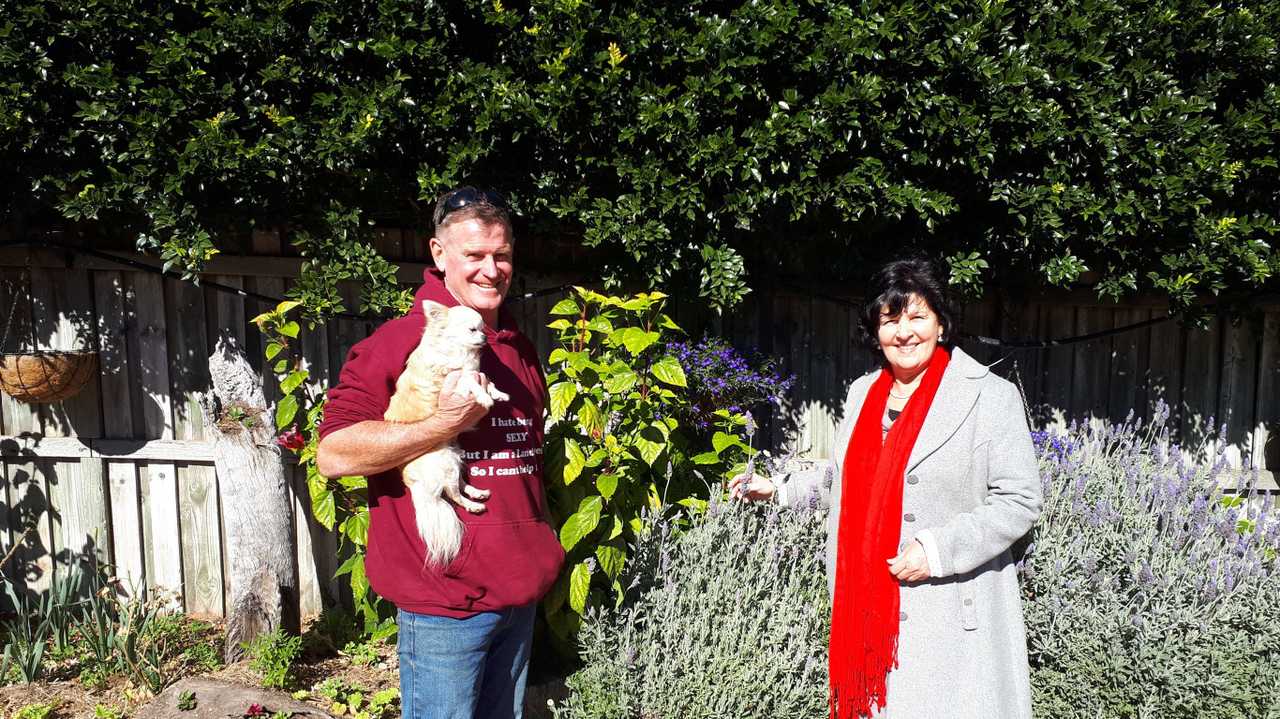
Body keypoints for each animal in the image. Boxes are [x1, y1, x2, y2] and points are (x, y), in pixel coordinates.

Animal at [384, 298, 509, 565]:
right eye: (472, 330)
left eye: (482, 328)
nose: (485, 337)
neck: (457, 351)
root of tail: (412, 481)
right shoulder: (453, 379)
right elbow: (471, 380)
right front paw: (485, 397)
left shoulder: (472, 371)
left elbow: (485, 377)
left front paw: (498, 393)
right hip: (444, 462)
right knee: (451, 494)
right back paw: (473, 506)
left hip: (454, 456)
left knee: (459, 485)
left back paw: (477, 493)